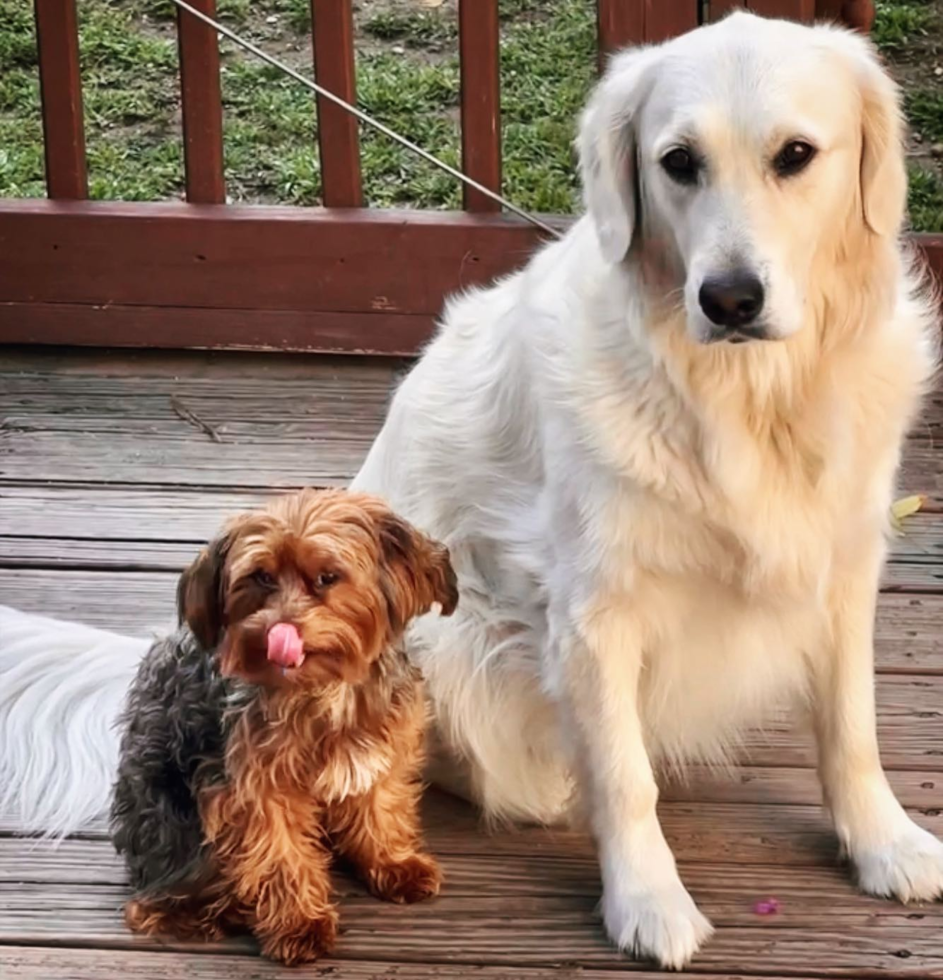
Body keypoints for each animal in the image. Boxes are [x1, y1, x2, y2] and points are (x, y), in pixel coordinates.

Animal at [110, 486, 458, 960]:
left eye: (328, 577)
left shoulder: (381, 750)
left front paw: (394, 862)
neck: (324, 689)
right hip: (171, 810)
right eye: (261, 578)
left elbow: (380, 806)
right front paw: (299, 922)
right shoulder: (256, 787)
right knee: (163, 901)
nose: (279, 631)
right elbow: (280, 854)